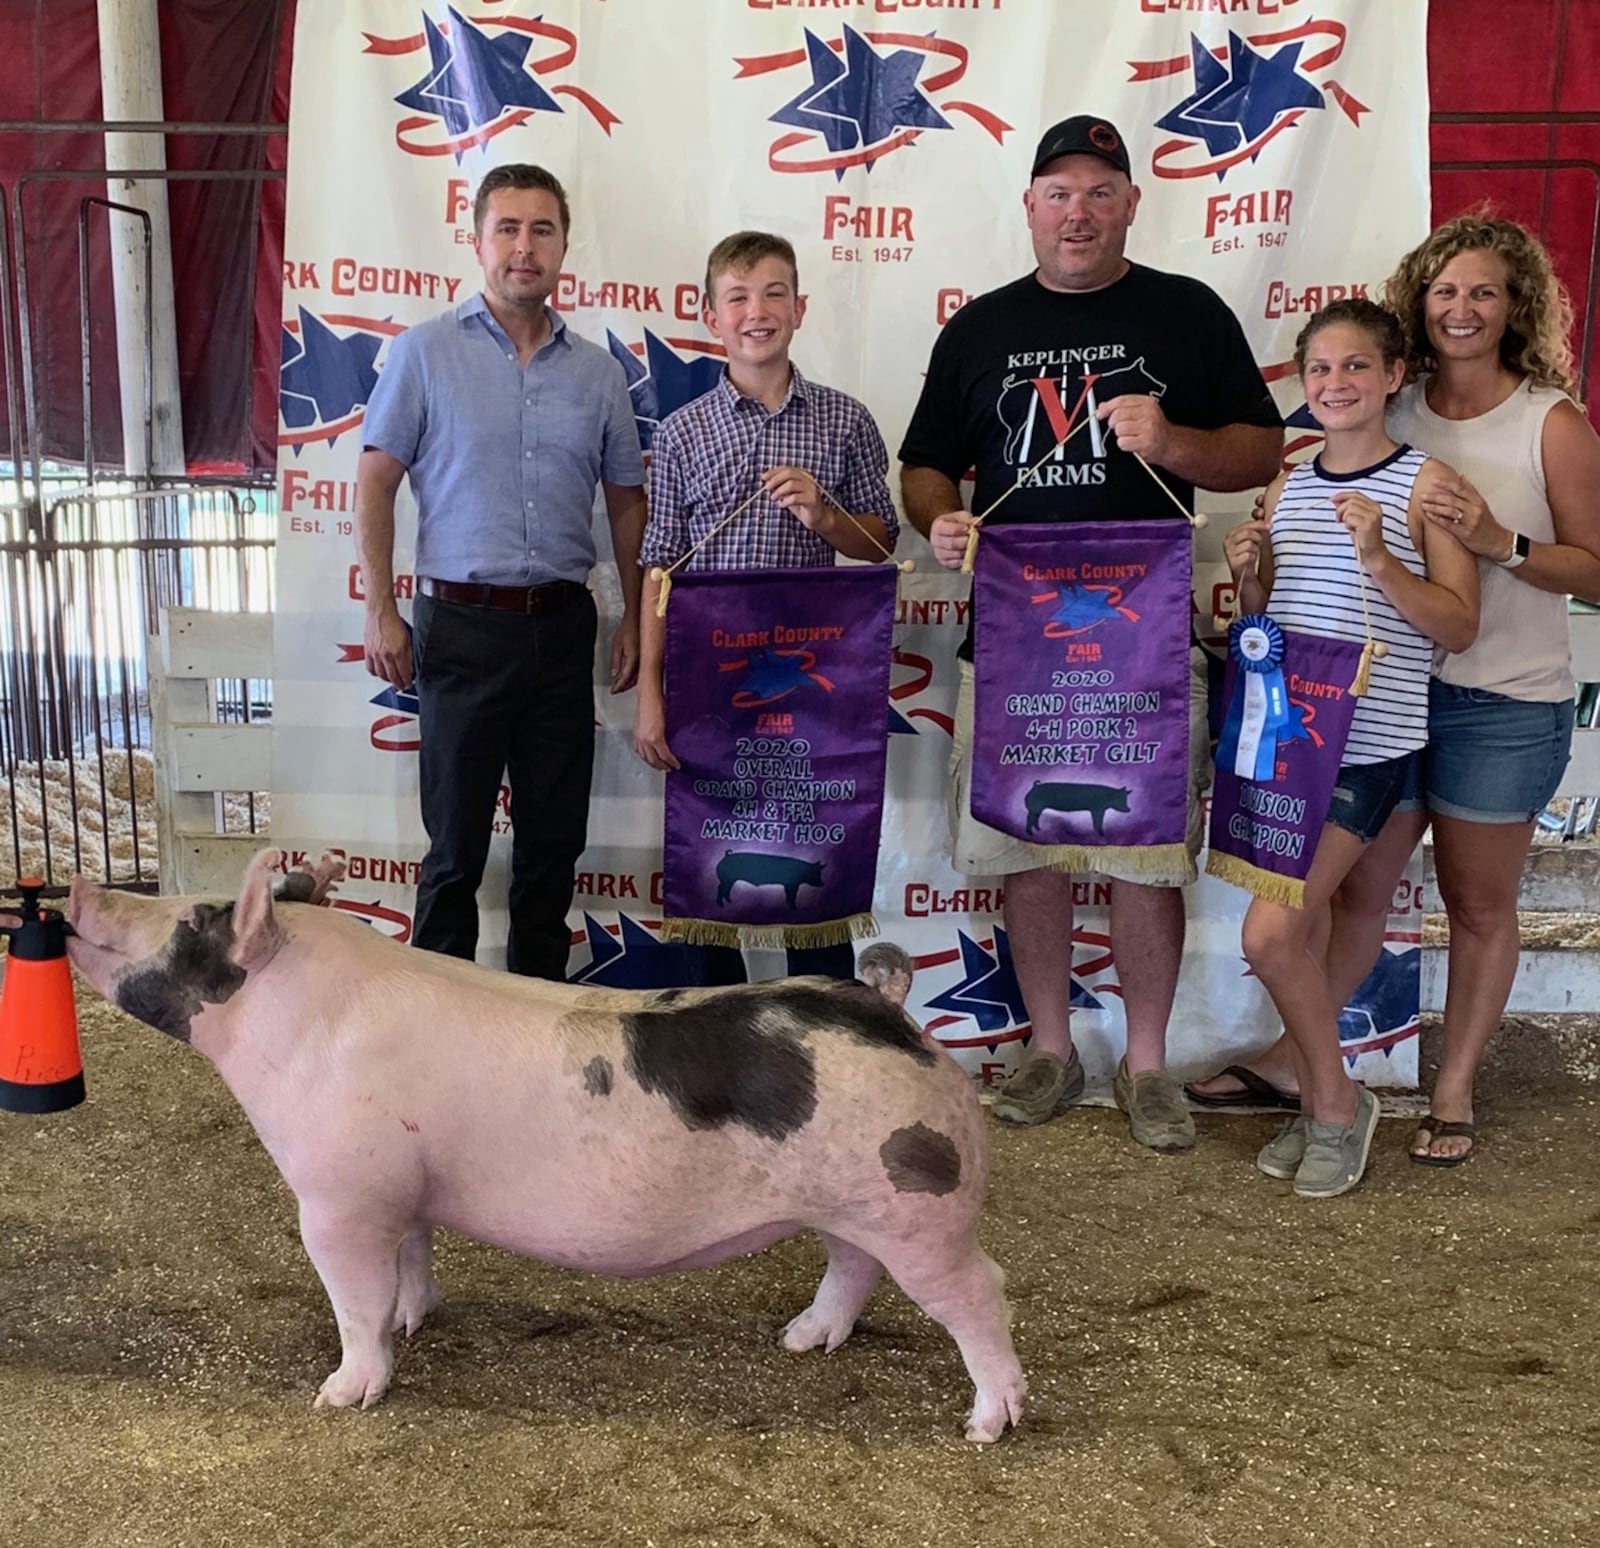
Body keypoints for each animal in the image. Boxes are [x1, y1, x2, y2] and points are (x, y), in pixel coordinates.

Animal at [65, 844, 1024, 1439]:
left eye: (193, 924)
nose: (74, 889)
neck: (299, 1027)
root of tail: (894, 1012)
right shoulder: (403, 1187)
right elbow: (412, 1260)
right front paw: (415, 1321)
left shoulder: (340, 1196)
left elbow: (353, 1301)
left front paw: (340, 1396)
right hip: (857, 1203)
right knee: (852, 1267)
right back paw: (800, 1340)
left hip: (922, 1205)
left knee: (982, 1292)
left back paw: (986, 1426)